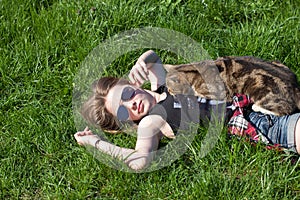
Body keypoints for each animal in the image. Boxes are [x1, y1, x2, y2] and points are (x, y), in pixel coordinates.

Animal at [164, 56, 300, 115]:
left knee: (285, 109)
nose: (169, 92)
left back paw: (256, 107)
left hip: (260, 90)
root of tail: (295, 85)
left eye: (171, 89)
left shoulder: (219, 93)